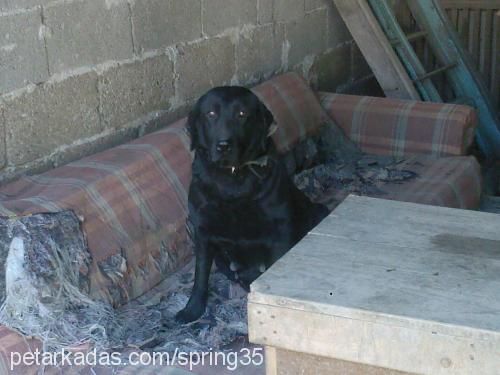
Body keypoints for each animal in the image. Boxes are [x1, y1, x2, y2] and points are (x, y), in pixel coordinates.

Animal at [175, 86, 328, 324]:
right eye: (211, 114)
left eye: (242, 114)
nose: (224, 145)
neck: (233, 179)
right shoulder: (201, 231)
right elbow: (200, 275)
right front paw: (193, 309)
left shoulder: (280, 229)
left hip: (319, 211)